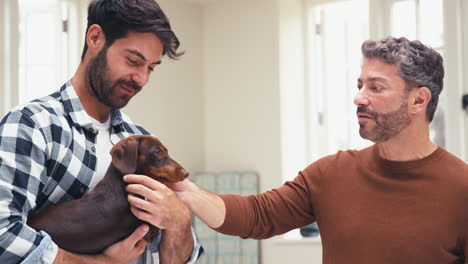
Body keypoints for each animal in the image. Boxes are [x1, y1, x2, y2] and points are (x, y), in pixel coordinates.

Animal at [26, 135, 188, 255]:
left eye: (166, 151)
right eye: (158, 153)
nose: (186, 173)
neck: (122, 188)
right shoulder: (146, 229)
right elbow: (159, 225)